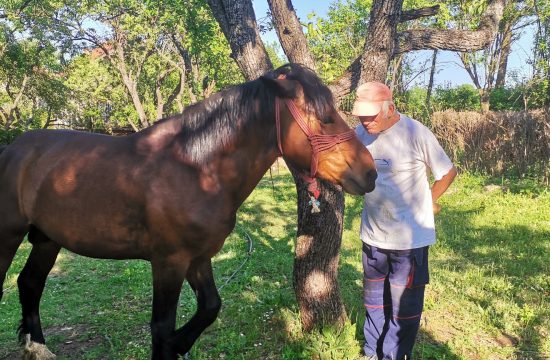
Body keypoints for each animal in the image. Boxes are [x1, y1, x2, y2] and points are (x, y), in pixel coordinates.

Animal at [0, 63, 378, 358]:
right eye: (326, 118)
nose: (370, 173)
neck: (196, 168)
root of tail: (14, 148)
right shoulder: (169, 262)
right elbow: (161, 327)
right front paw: (173, 345)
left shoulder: (198, 258)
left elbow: (210, 307)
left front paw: (181, 345)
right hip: (9, 236)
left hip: (48, 239)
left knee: (30, 283)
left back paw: (37, 346)